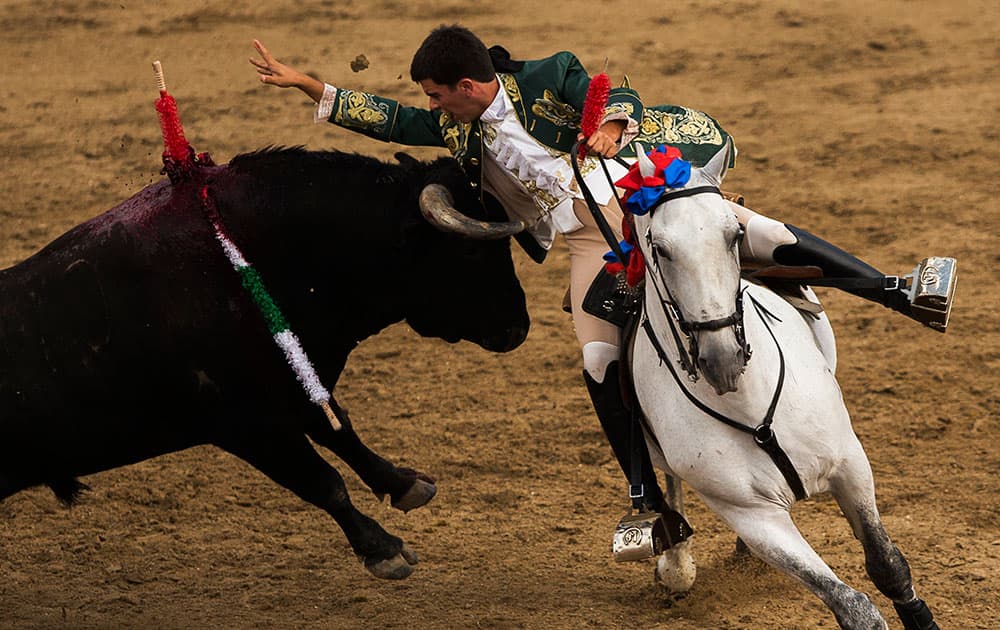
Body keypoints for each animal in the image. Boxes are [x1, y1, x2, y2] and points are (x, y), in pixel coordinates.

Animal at [0, 147, 532, 576]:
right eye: (470, 250)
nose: (519, 327)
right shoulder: (249, 425)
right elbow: (324, 481)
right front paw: (383, 549)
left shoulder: (299, 384)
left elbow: (342, 431)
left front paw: (403, 483)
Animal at [628, 143, 940, 630]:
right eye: (659, 249)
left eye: (734, 236)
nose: (722, 358)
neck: (749, 407)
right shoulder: (755, 517)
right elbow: (852, 605)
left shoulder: (850, 464)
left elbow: (887, 564)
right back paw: (676, 561)